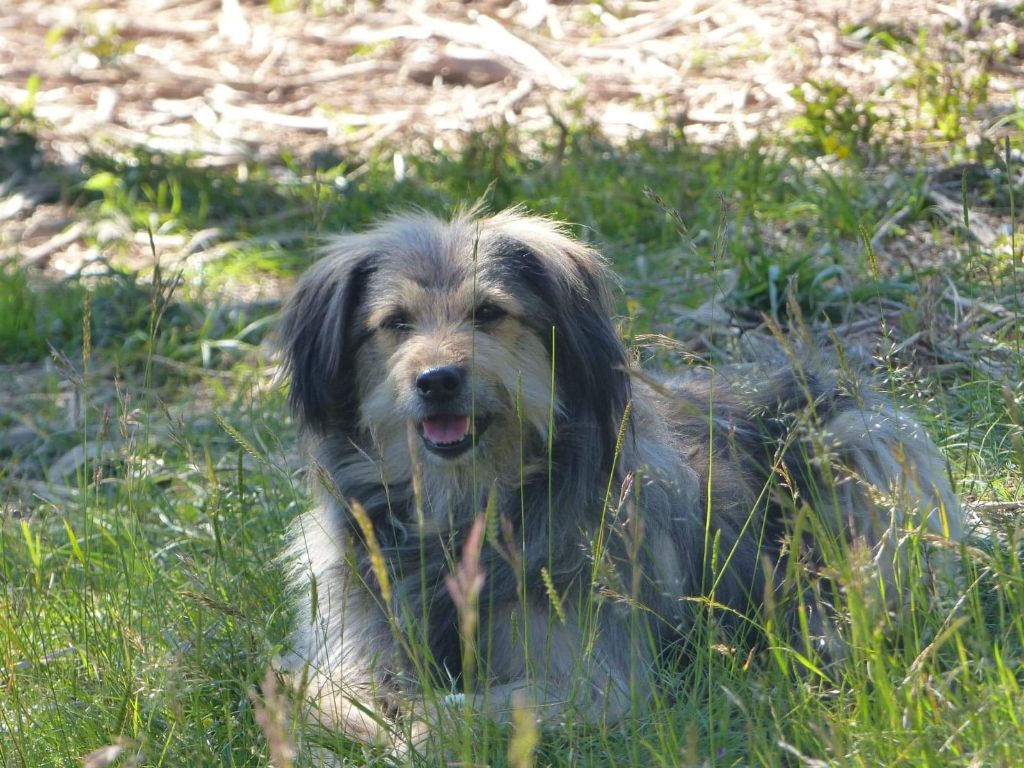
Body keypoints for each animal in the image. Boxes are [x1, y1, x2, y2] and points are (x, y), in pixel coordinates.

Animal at [278, 204, 958, 753]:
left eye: (489, 312)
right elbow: (320, 696)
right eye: (395, 322)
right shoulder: (344, 647)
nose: (437, 380)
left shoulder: (596, 681)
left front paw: (420, 727)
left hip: (858, 444)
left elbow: (456, 713)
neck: (466, 511)